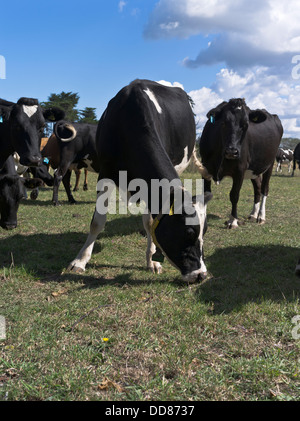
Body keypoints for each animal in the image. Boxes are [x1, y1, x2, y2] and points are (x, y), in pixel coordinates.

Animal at [67, 79, 210, 282]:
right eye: (188, 232)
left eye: (204, 233)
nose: (201, 275)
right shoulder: (105, 174)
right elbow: (97, 222)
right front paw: (80, 261)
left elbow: (150, 223)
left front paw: (152, 261)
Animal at [200, 97, 282, 228]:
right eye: (223, 123)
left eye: (246, 125)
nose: (232, 151)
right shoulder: (205, 168)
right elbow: (205, 194)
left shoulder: (240, 170)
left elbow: (234, 195)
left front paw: (233, 221)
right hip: (254, 168)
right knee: (257, 187)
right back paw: (253, 214)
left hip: (270, 163)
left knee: (264, 189)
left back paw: (261, 216)